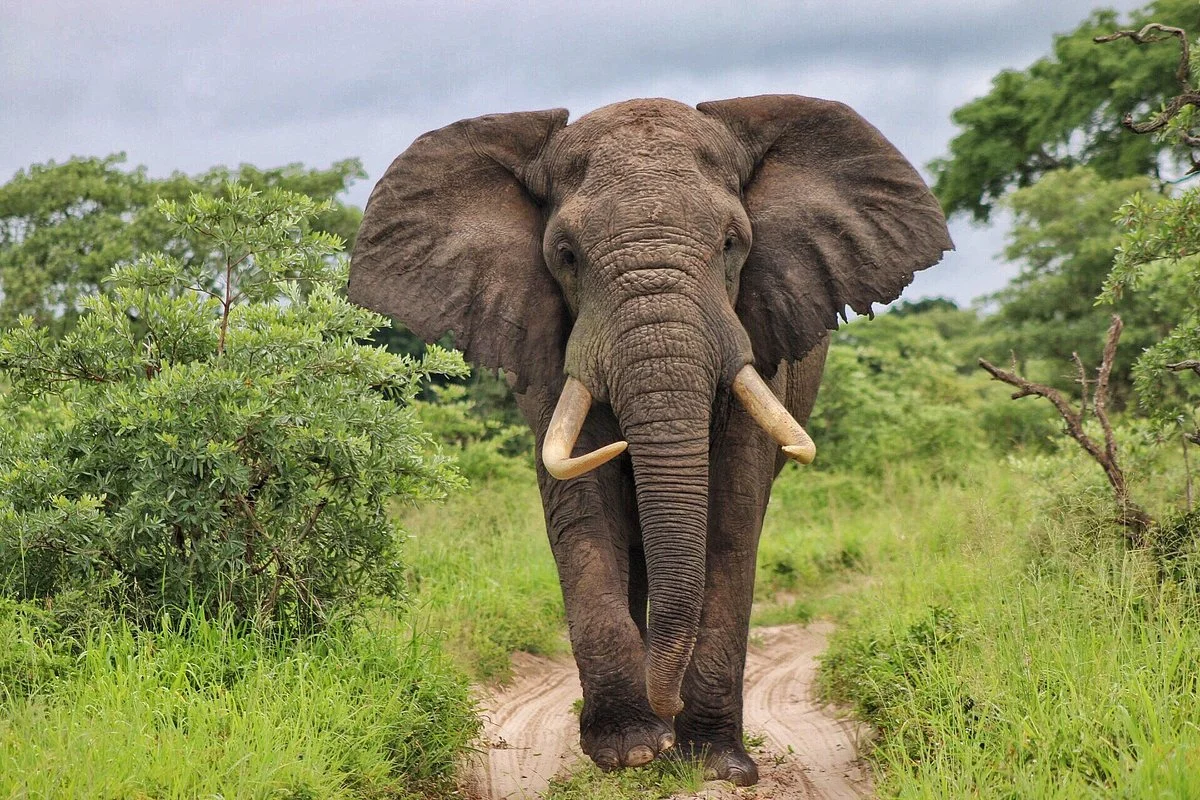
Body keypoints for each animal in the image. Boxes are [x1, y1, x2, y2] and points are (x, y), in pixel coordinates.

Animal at [348, 95, 951, 784]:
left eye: (732, 244)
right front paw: (630, 750)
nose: (669, 711)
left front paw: (715, 763)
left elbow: (732, 516)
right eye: (566, 255)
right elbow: (584, 507)